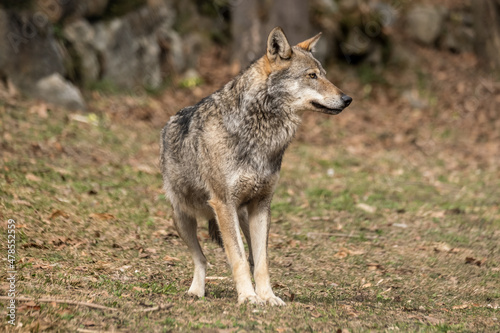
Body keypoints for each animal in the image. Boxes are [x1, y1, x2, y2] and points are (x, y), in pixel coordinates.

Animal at [160, 27, 352, 304]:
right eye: (312, 76)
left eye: (324, 74)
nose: (347, 99)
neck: (261, 134)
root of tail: (169, 120)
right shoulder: (223, 204)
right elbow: (237, 258)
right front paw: (249, 298)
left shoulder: (262, 206)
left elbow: (261, 262)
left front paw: (268, 297)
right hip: (183, 216)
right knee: (202, 258)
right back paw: (196, 291)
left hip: (242, 217)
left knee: (248, 256)